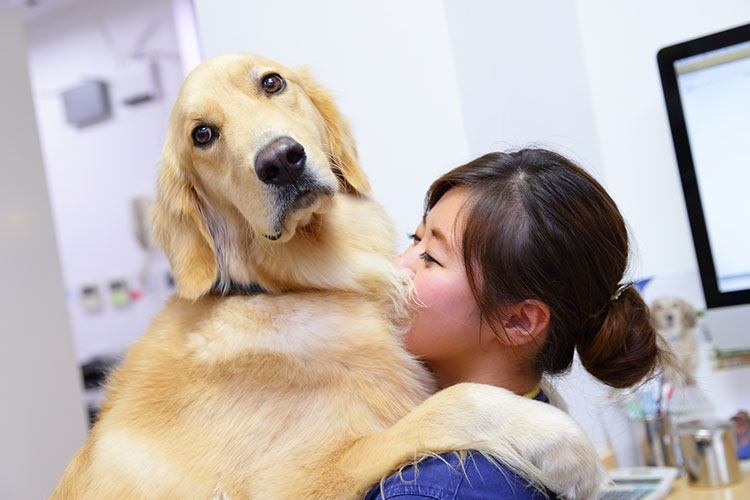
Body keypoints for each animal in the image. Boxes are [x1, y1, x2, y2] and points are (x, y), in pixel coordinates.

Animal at [51, 54, 604, 500]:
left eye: (271, 83)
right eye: (202, 134)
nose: (280, 160)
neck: (304, 286)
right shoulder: (294, 481)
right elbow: (453, 402)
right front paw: (562, 443)